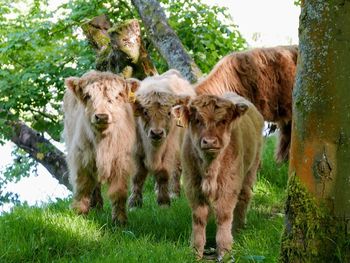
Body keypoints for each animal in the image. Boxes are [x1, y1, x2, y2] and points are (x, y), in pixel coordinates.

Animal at [63, 70, 139, 225]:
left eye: (117, 96)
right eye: (88, 96)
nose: (102, 116)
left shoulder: (121, 161)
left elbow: (119, 191)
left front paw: (120, 221)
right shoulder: (81, 157)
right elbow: (83, 186)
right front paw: (79, 213)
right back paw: (96, 205)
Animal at [129, 69, 196, 208]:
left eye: (169, 113)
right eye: (145, 111)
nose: (157, 133)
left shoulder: (170, 149)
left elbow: (163, 173)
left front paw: (164, 201)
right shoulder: (136, 150)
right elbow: (137, 176)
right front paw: (134, 203)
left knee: (176, 170)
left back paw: (174, 193)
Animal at [174, 92, 264, 260]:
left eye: (223, 121)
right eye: (197, 120)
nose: (209, 141)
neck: (210, 168)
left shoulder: (228, 187)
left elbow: (224, 216)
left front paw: (225, 251)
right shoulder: (193, 186)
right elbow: (199, 218)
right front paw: (196, 251)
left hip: (251, 169)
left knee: (244, 198)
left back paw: (238, 230)